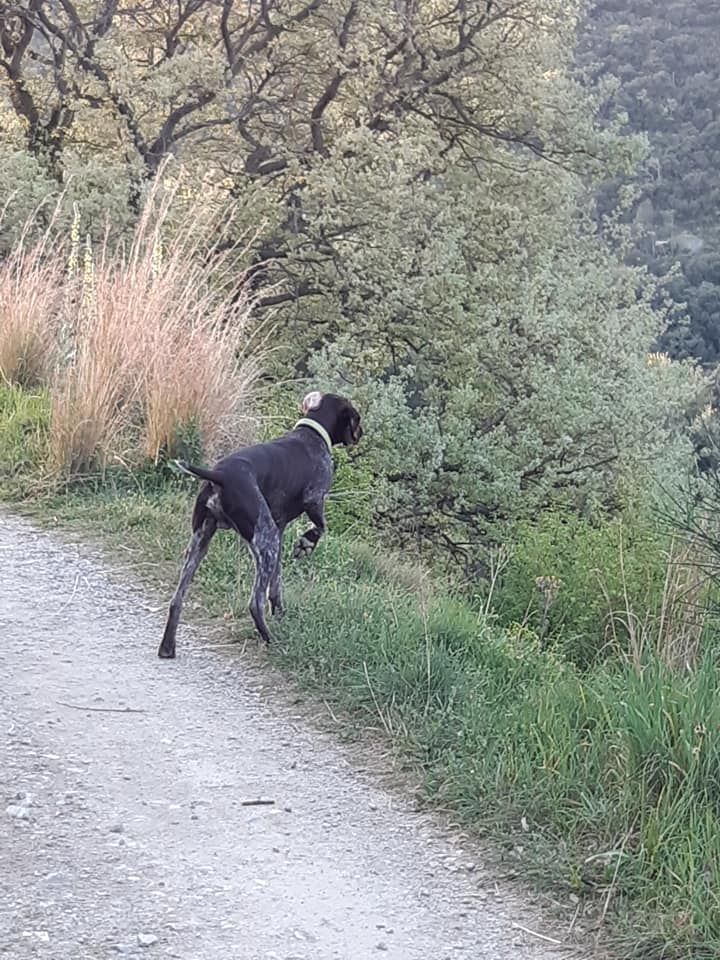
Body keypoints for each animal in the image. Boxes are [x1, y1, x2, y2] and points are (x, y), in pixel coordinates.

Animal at [157, 386, 360, 656]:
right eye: (356, 419)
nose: (361, 432)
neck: (313, 433)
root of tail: (219, 475)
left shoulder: (280, 530)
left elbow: (277, 583)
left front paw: (281, 611)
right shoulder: (314, 498)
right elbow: (321, 527)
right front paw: (306, 544)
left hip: (202, 541)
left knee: (176, 599)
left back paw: (168, 646)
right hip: (265, 540)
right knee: (255, 602)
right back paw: (271, 640)